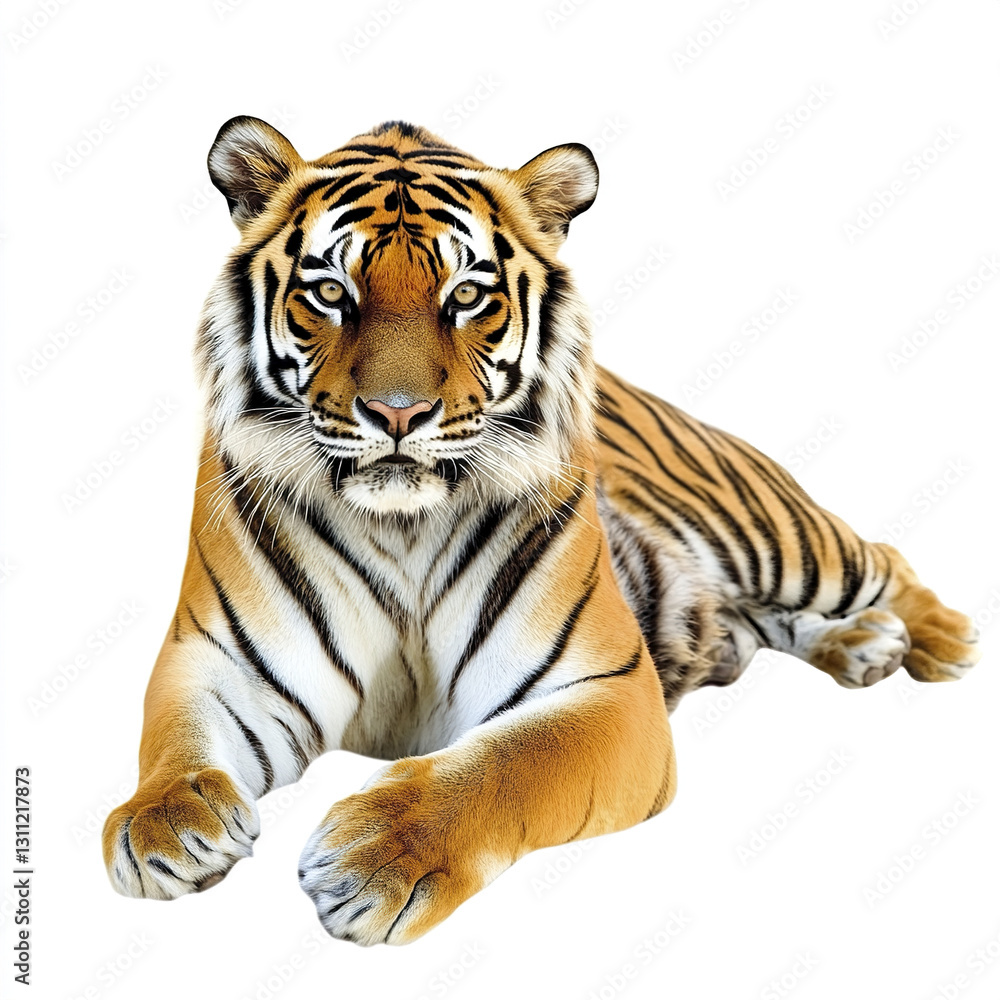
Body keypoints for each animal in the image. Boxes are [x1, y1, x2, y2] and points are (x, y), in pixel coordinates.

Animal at [102, 116, 980, 946]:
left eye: (465, 296)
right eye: (329, 292)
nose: (396, 413)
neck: (403, 527)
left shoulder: (607, 689)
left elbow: (505, 766)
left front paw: (378, 857)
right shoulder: (217, 664)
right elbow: (175, 743)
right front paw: (164, 825)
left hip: (777, 536)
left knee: (881, 558)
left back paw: (941, 642)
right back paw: (864, 645)